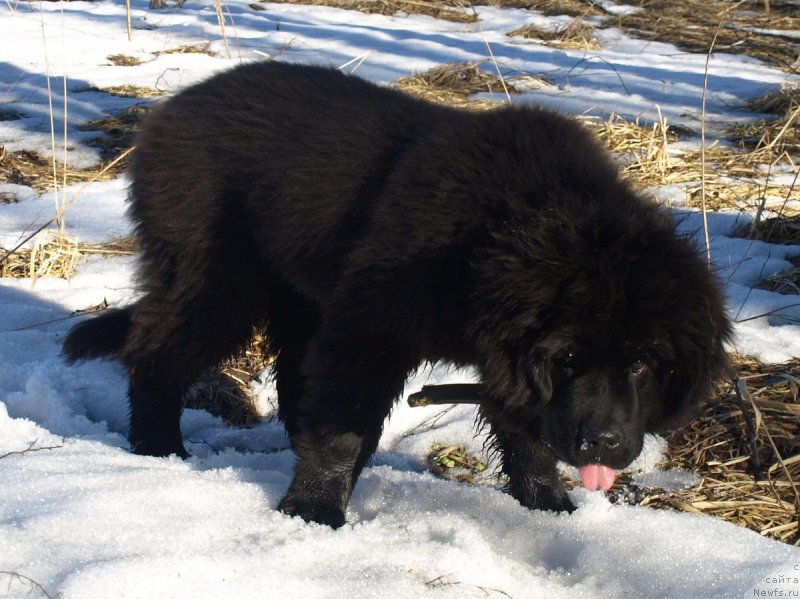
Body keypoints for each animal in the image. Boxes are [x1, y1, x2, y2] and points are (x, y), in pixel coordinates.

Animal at [65, 62, 736, 528]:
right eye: (569, 358)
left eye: (644, 364)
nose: (604, 445)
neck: (499, 229)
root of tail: (170, 110)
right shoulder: (371, 328)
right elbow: (344, 426)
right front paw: (313, 513)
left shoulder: (502, 356)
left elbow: (524, 432)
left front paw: (549, 507)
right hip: (216, 277)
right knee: (158, 352)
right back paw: (159, 449)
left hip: (298, 293)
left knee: (290, 376)